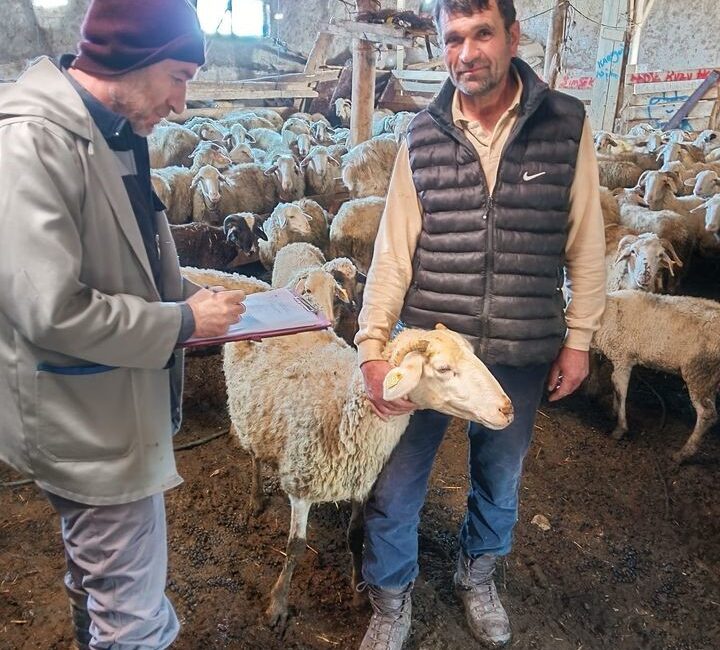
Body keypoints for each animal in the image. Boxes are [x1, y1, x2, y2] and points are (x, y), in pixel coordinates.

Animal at [224, 322, 512, 624]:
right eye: (443, 368)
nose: (507, 409)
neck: (344, 417)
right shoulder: (301, 484)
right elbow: (296, 548)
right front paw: (278, 605)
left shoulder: (363, 482)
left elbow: (356, 535)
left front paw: (358, 591)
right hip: (247, 414)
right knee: (255, 457)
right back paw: (256, 499)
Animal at [592, 288, 720, 460]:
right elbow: (614, 387)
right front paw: (614, 413)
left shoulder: (623, 357)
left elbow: (620, 391)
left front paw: (620, 428)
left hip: (700, 372)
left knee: (707, 414)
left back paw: (682, 454)